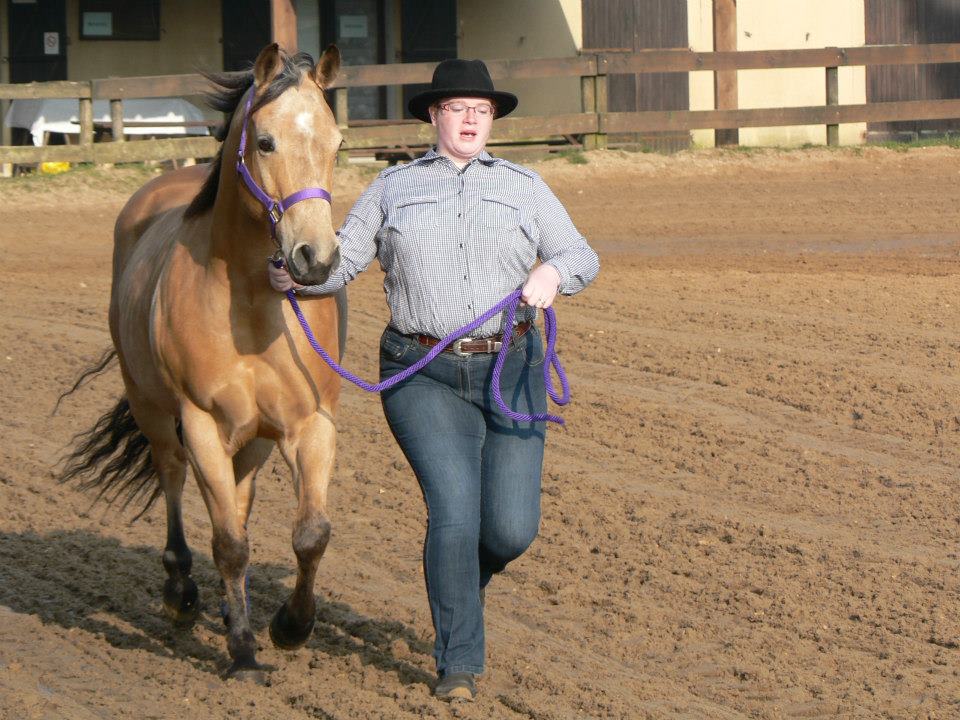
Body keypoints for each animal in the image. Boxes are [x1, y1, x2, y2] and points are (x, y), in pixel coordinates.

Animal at [61, 45, 344, 680]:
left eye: (337, 142)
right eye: (265, 141)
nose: (315, 260)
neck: (251, 307)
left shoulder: (309, 425)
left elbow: (310, 533)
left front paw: (289, 628)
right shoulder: (201, 425)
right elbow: (229, 545)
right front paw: (243, 653)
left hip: (255, 440)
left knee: (237, 502)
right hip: (155, 412)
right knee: (172, 481)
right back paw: (183, 595)